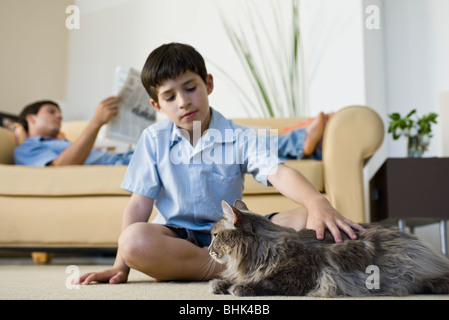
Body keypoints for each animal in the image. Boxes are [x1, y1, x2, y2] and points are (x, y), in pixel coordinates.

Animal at [208, 201, 448, 296]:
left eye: (215, 236)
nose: (208, 249)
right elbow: (228, 279)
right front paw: (219, 284)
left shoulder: (297, 278)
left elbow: (262, 283)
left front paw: (239, 288)